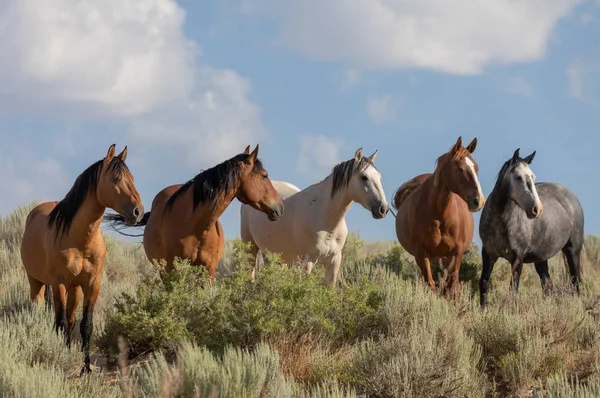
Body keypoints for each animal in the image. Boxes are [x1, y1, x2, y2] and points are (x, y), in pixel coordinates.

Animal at [19, 145, 144, 374]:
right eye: (115, 178)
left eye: (131, 178)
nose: (138, 212)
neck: (80, 241)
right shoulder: (59, 283)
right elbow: (59, 322)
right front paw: (62, 357)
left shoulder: (92, 284)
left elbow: (85, 324)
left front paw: (86, 367)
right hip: (37, 282)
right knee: (42, 309)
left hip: (74, 288)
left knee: (70, 319)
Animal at [239, 148, 390, 288]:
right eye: (364, 177)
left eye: (379, 177)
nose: (383, 209)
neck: (326, 222)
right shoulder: (307, 262)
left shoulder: (334, 261)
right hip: (250, 248)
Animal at [394, 136, 488, 296]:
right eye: (460, 168)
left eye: (476, 168)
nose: (479, 201)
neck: (439, 216)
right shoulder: (422, 253)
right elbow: (431, 284)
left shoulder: (456, 253)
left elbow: (451, 286)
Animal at [478, 148, 584, 310]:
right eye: (518, 177)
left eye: (533, 177)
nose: (537, 209)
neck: (500, 222)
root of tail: (572, 197)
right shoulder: (488, 254)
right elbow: (484, 282)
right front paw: (483, 311)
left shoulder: (517, 258)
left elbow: (513, 289)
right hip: (541, 258)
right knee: (547, 285)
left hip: (573, 250)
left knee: (575, 280)